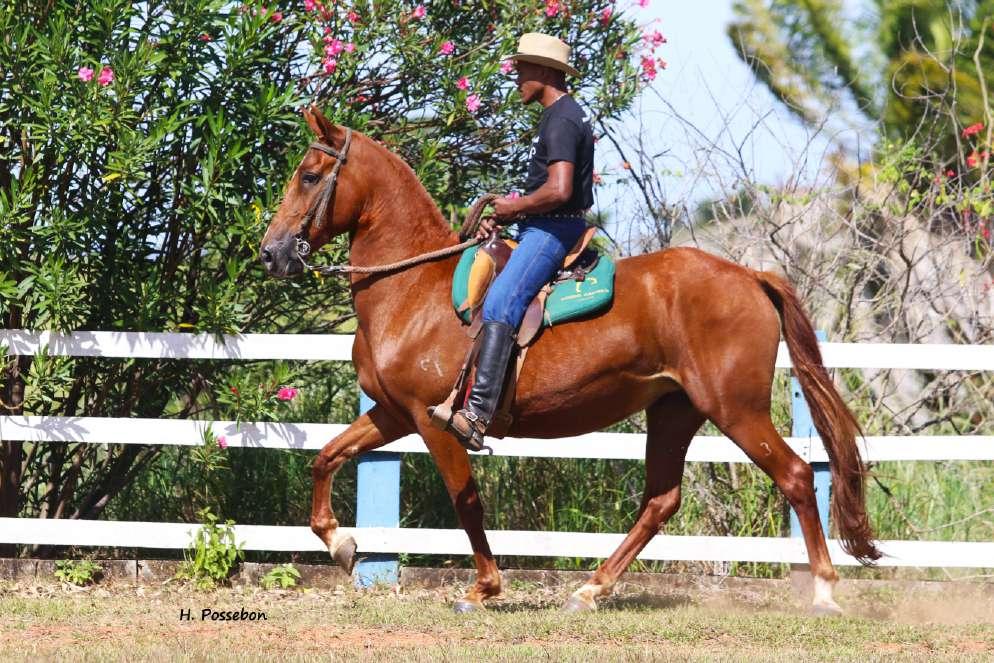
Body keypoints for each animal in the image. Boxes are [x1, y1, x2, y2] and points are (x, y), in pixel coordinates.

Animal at [258, 106, 876, 616]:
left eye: (309, 176)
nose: (271, 253)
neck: (412, 288)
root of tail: (750, 275)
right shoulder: (393, 413)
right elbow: (326, 457)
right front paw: (341, 544)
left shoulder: (434, 423)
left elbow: (466, 501)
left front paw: (483, 589)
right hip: (675, 410)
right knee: (661, 500)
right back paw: (591, 588)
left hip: (736, 409)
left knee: (796, 476)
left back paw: (824, 591)